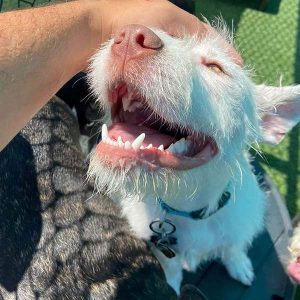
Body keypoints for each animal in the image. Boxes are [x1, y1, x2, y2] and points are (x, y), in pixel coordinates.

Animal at [86, 22, 300, 292]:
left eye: (216, 67)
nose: (130, 36)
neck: (188, 206)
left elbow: (233, 246)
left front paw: (239, 264)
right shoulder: (159, 244)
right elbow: (170, 265)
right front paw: (172, 284)